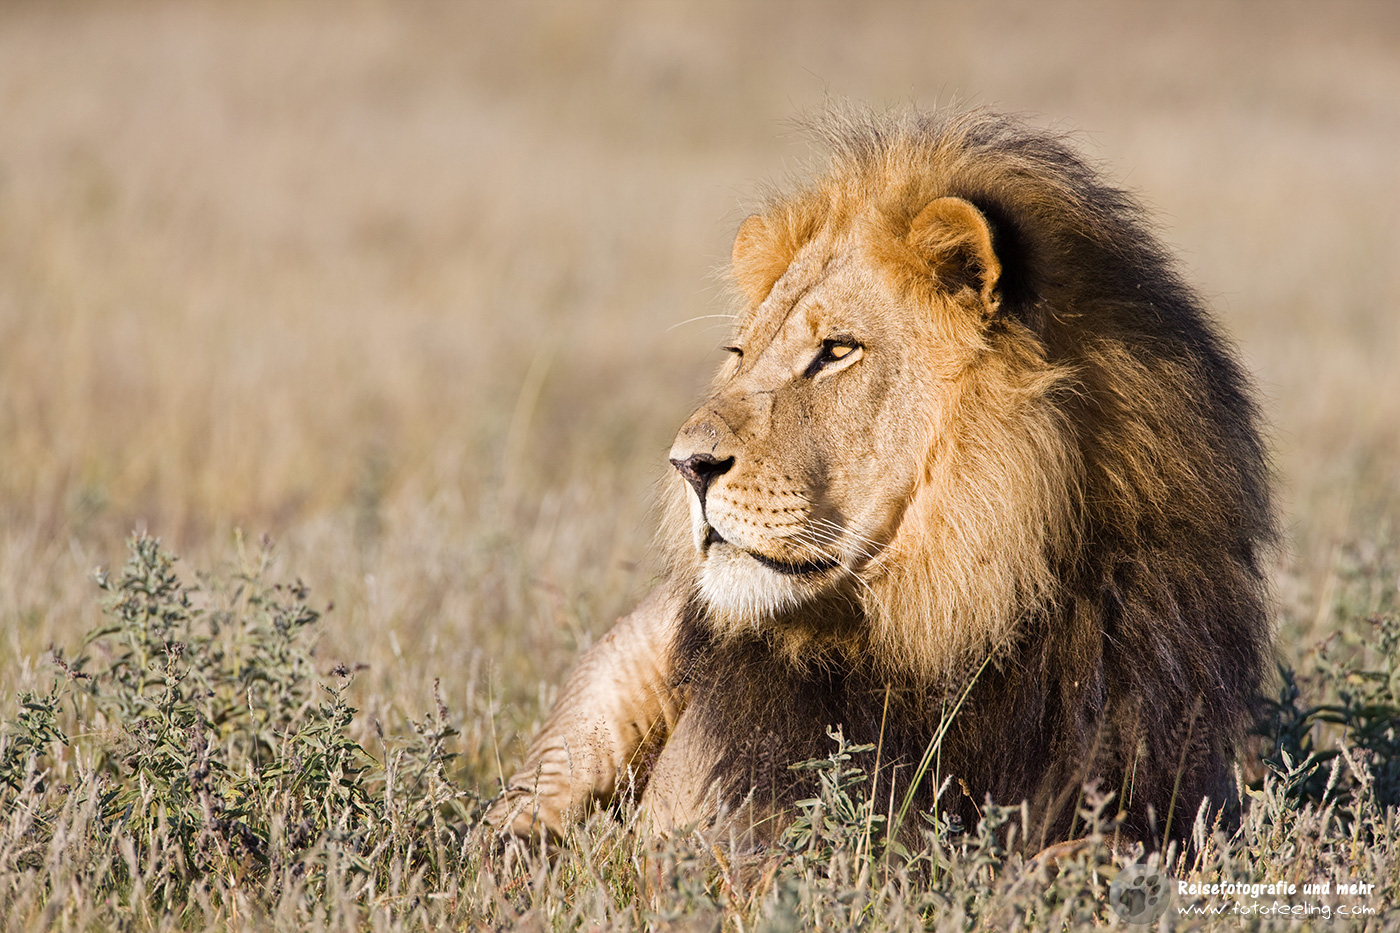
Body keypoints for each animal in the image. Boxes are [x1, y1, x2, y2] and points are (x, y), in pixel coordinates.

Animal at [485, 107, 1274, 851]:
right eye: (740, 354)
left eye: (837, 351)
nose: (687, 465)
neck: (948, 620)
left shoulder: (1166, 794)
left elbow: (1100, 851)